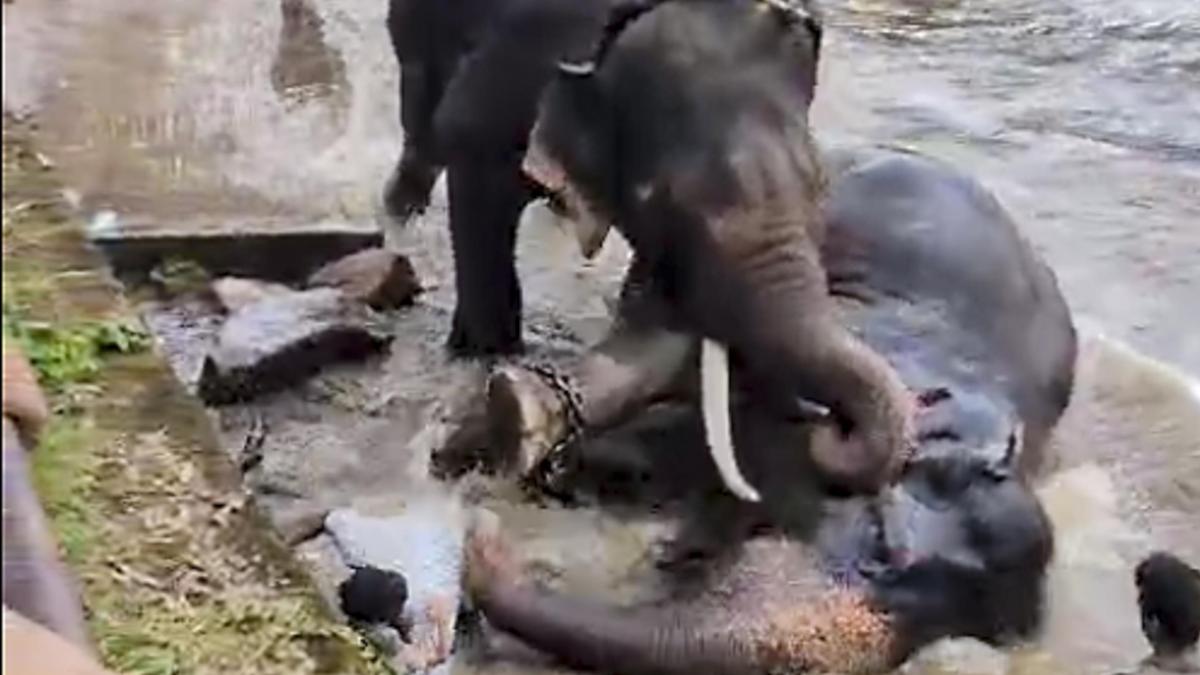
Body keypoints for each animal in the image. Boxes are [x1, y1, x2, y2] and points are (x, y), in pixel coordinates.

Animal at [387, 0, 915, 499]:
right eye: (661, 198)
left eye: (820, 185)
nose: (830, 428)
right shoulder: (510, 65)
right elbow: (471, 156)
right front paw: (484, 356)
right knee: (421, 114)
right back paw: (400, 213)